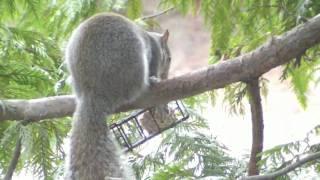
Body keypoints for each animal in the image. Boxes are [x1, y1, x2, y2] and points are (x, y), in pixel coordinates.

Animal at [63, 13, 171, 180]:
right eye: (169, 59)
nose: (166, 76)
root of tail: (93, 92)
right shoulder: (154, 58)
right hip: (132, 60)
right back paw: (149, 83)